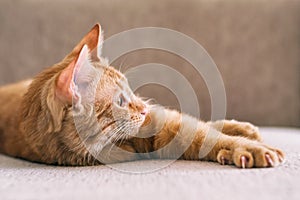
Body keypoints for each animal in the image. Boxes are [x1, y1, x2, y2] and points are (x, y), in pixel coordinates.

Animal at [0, 23, 284, 167]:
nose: (144, 108)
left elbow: (202, 130)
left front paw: (243, 141)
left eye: (130, 90)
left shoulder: (164, 124)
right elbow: (203, 136)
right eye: (119, 101)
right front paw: (243, 148)